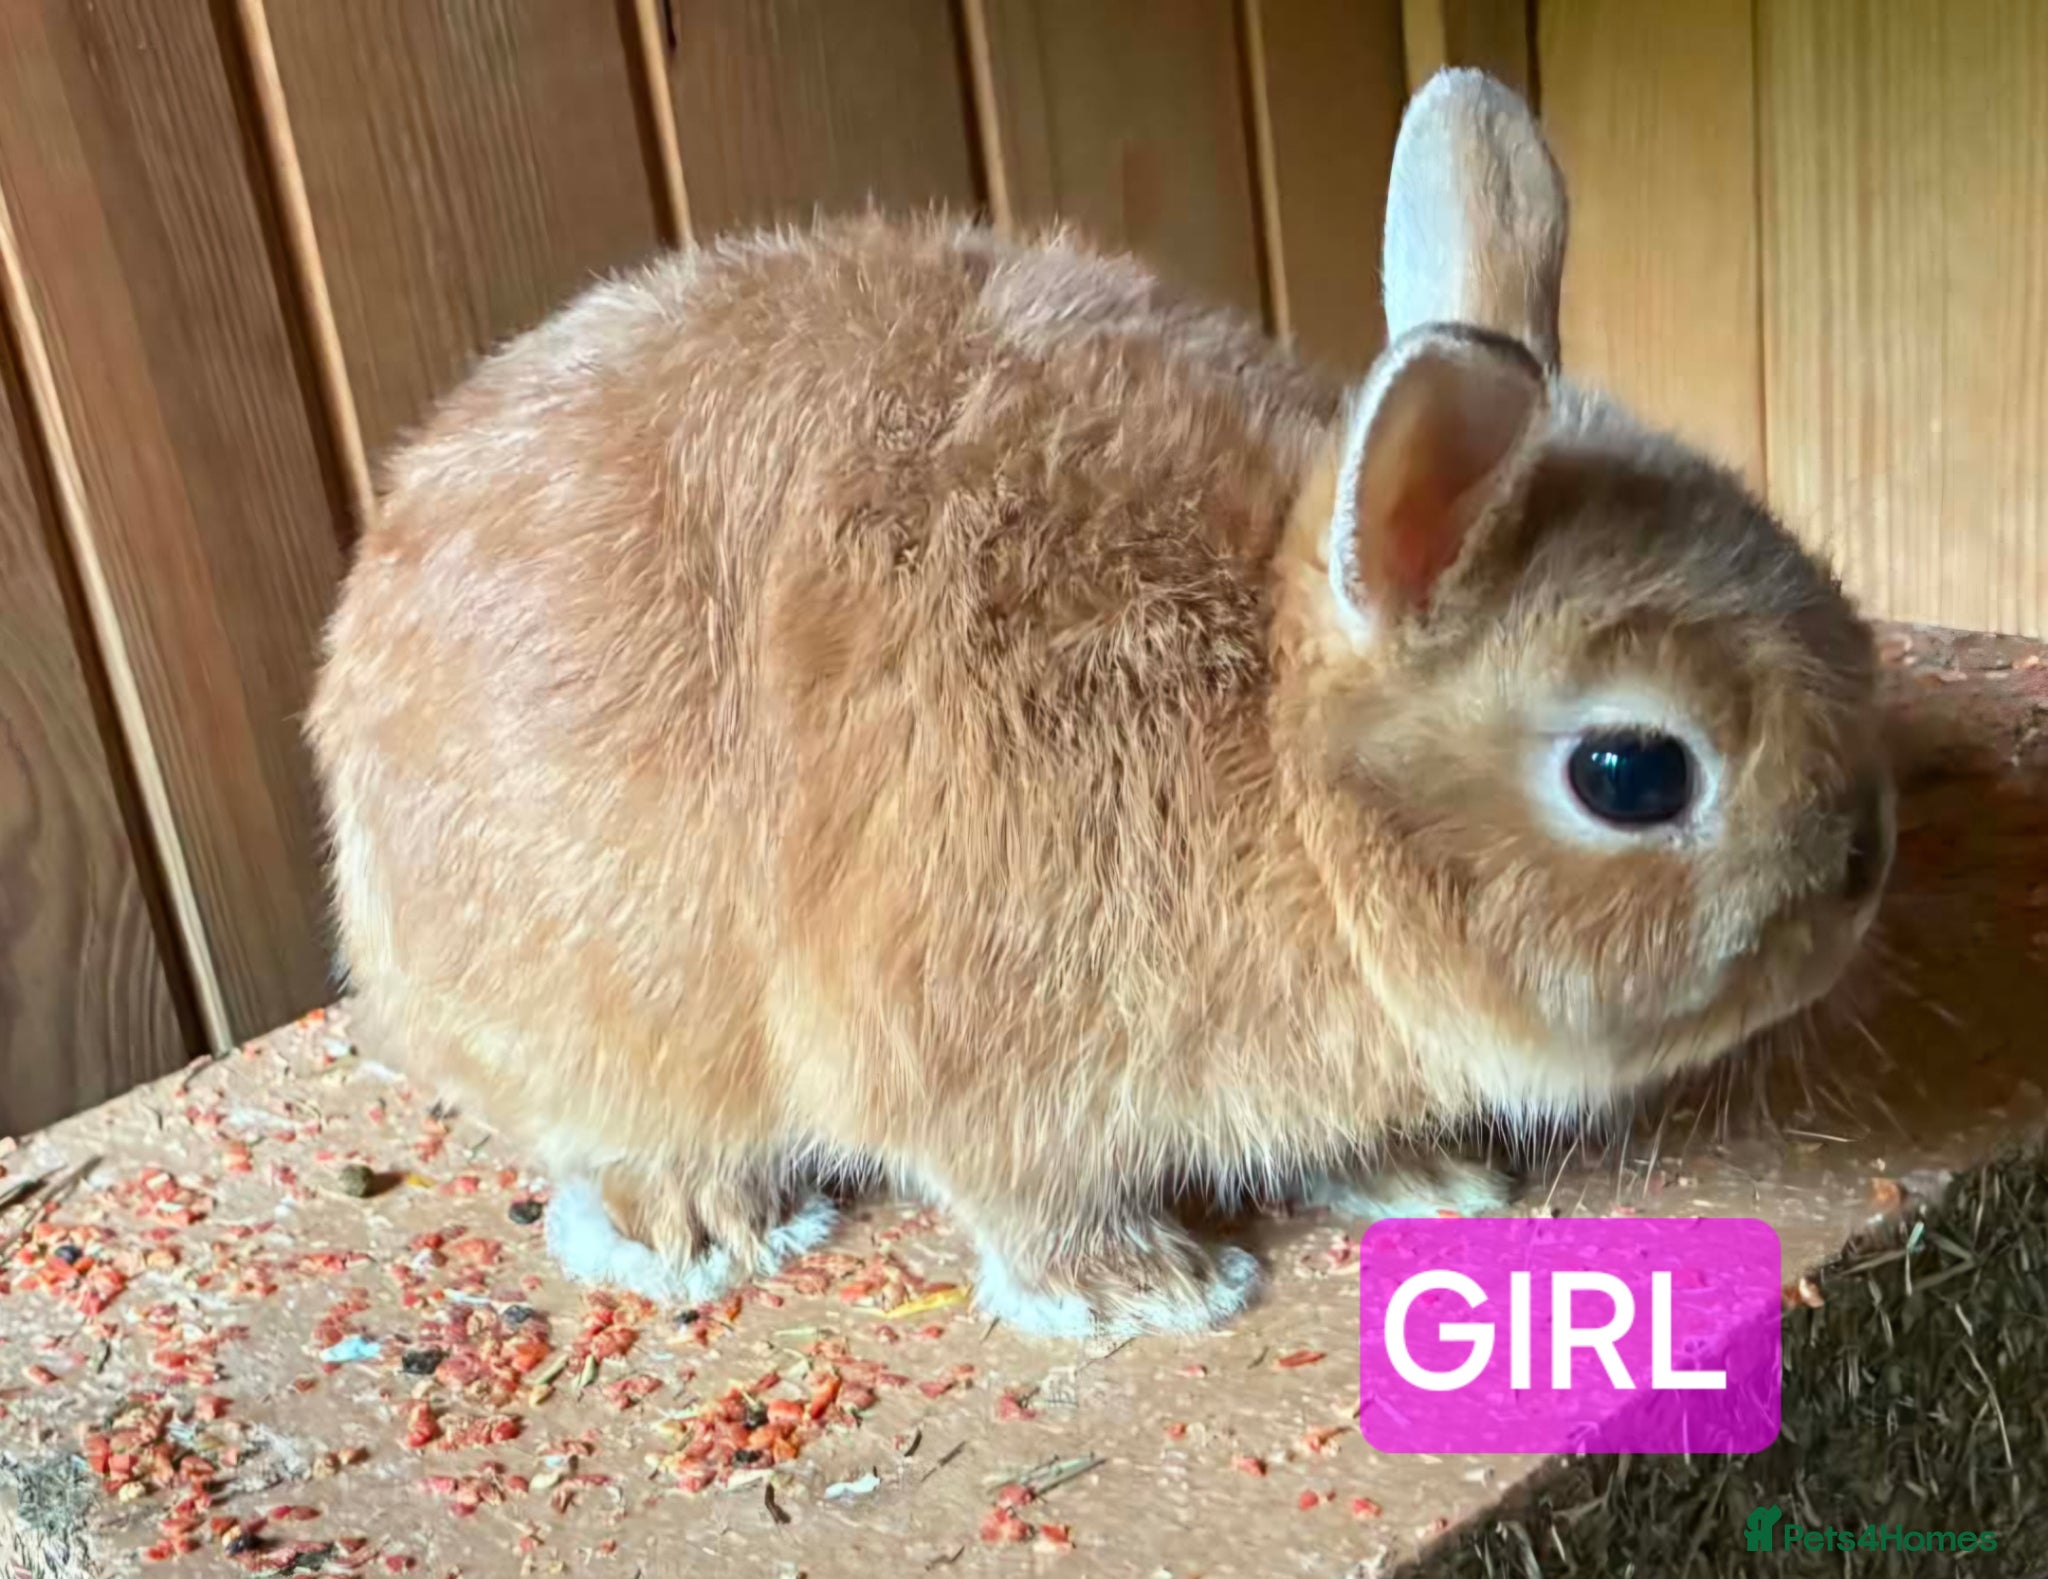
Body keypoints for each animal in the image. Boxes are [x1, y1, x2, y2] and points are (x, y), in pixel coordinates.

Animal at [306, 69, 1892, 1339]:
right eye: (1633, 774)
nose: (1862, 876)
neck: (1282, 752)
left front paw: (1426, 1177)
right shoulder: (973, 1045)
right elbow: (1024, 1195)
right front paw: (1152, 1289)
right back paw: (706, 1225)